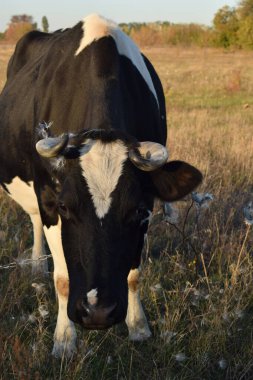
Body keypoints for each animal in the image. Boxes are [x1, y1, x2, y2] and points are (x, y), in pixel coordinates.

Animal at [0, 14, 202, 358]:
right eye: (66, 206)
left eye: (138, 210)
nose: (97, 311)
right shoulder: (49, 196)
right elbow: (63, 278)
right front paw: (64, 341)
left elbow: (133, 274)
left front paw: (138, 327)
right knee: (35, 219)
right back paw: (38, 263)